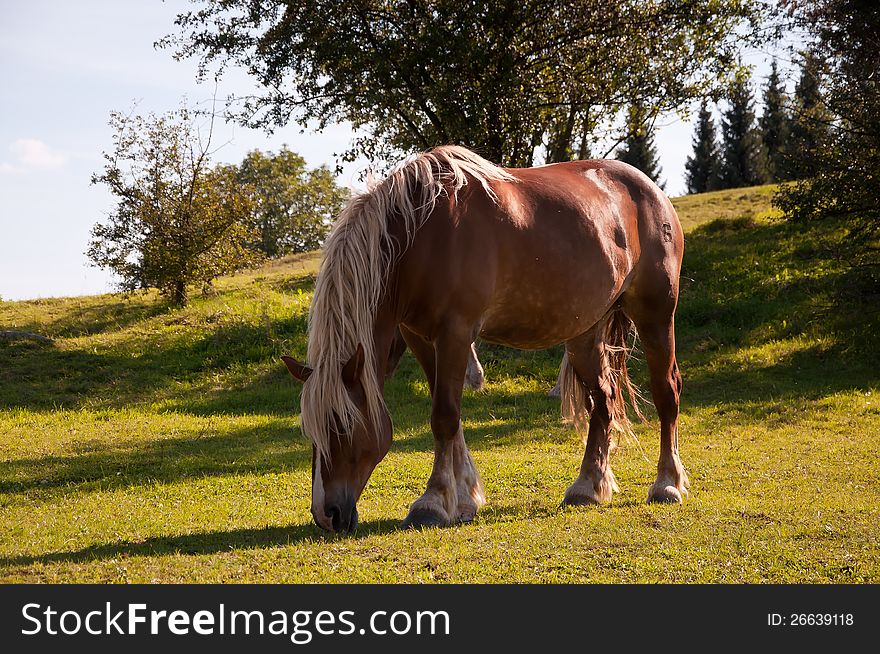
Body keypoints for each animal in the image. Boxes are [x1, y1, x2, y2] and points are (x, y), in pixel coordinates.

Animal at [282, 146, 688, 536]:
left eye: (341, 426)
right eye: (311, 431)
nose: (327, 514)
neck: (418, 237)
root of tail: (650, 191)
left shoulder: (456, 332)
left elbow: (444, 416)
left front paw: (432, 503)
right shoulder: (421, 338)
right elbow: (451, 417)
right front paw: (464, 499)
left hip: (655, 314)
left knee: (666, 391)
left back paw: (667, 484)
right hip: (585, 334)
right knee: (603, 400)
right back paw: (588, 487)